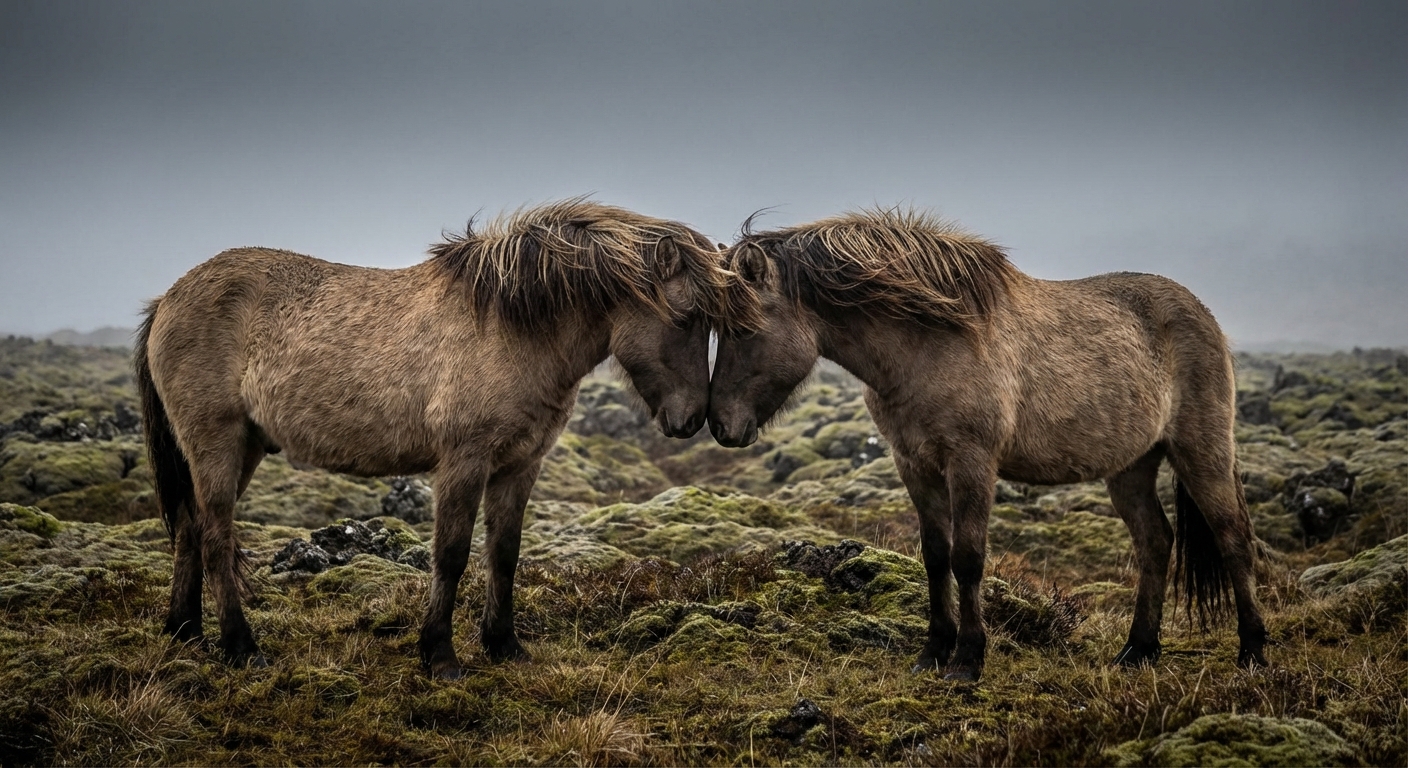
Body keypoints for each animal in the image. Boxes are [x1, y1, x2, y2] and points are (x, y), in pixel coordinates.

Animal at [135, 199, 733, 679]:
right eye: (685, 316)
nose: (691, 420)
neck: (514, 327)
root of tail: (168, 298)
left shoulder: (520, 466)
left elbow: (504, 553)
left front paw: (505, 646)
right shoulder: (464, 462)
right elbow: (450, 554)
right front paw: (440, 656)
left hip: (246, 448)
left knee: (190, 528)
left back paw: (186, 632)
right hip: (217, 442)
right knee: (215, 536)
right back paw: (241, 648)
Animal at [707, 208, 1268, 682]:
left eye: (744, 329)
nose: (720, 425)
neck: (927, 344)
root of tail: (1201, 313)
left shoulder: (971, 462)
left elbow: (968, 558)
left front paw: (967, 661)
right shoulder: (914, 464)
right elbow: (935, 556)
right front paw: (933, 653)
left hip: (1202, 451)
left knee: (1233, 538)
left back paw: (1253, 652)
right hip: (1131, 466)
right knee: (1155, 541)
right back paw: (1137, 651)